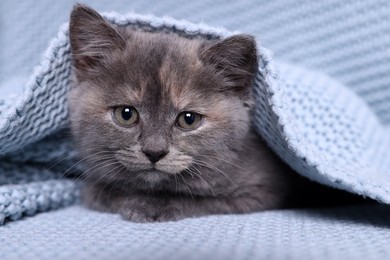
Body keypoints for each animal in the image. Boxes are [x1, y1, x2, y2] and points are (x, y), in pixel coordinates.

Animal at [68, 5, 364, 222]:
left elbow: (206, 200)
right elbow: (97, 192)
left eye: (189, 119)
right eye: (126, 114)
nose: (154, 151)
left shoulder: (262, 192)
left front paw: (151, 206)